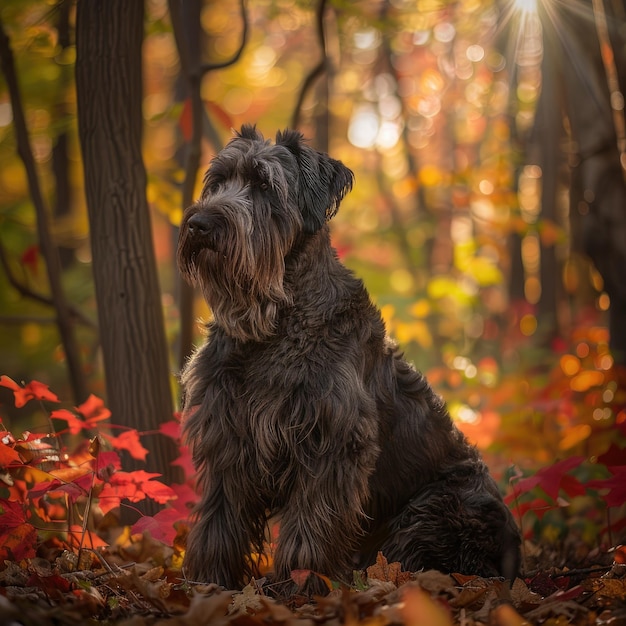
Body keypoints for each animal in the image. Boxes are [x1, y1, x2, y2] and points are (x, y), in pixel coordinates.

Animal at [174, 124, 516, 588]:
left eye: (263, 184)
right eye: (217, 181)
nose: (198, 223)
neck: (275, 322)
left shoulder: (332, 440)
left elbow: (311, 527)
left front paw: (302, 584)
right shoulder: (228, 433)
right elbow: (218, 521)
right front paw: (208, 584)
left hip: (434, 509)